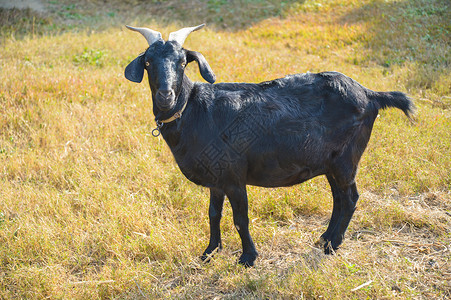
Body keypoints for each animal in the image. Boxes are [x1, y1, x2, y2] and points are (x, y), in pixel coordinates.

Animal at [125, 24, 414, 268]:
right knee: (339, 199)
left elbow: (240, 219)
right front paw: (209, 252)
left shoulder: (233, 176)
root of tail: (370, 94)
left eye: (183, 62)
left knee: (350, 197)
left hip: (346, 159)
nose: (166, 95)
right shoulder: (215, 180)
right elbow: (213, 214)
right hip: (330, 163)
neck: (194, 109)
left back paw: (332, 245)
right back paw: (324, 238)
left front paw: (247, 258)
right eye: (148, 62)